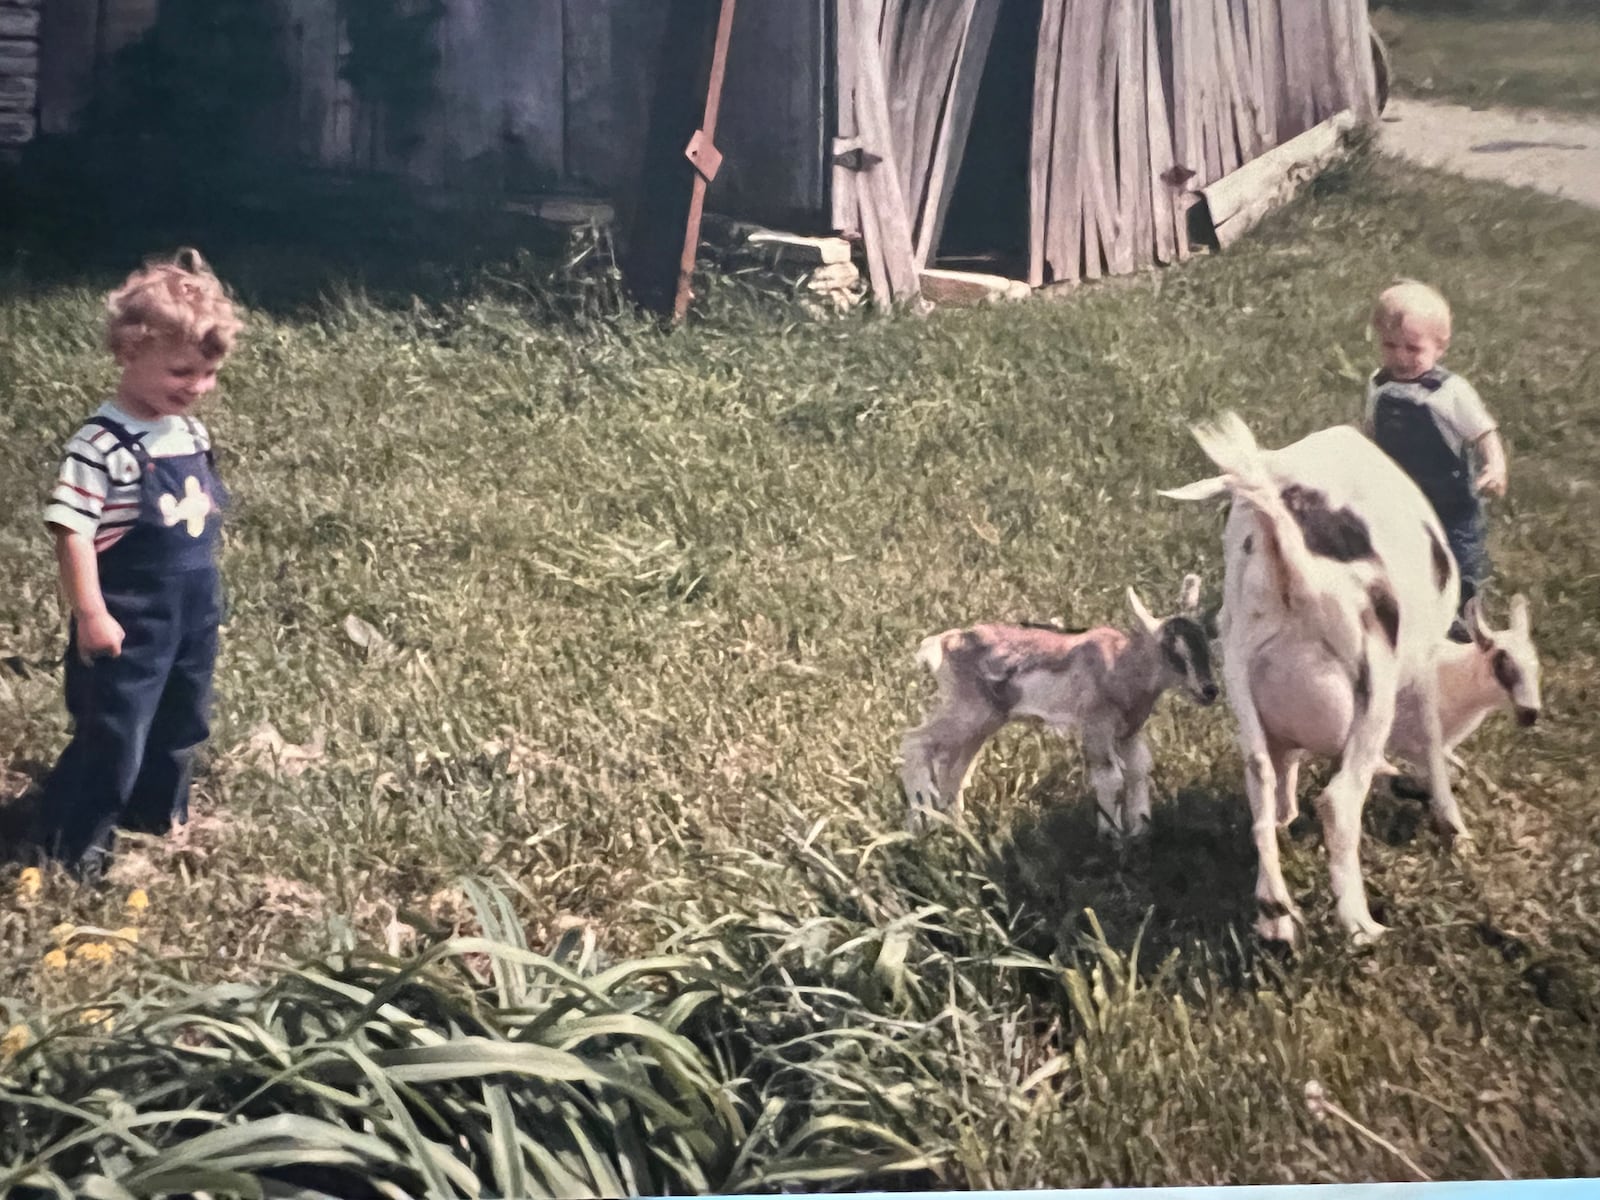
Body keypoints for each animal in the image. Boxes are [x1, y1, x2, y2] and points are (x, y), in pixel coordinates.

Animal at [896, 579, 1216, 838]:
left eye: (1206, 642)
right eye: (1172, 651)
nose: (1209, 691)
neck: (1119, 662)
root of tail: (941, 643)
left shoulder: (1130, 730)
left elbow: (1138, 770)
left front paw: (1139, 832)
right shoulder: (1095, 727)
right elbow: (1109, 777)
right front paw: (1111, 838)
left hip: (982, 723)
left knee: (955, 772)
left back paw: (959, 829)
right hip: (966, 715)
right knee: (914, 742)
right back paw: (919, 829)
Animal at [1164, 416, 1465, 947]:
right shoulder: (1423, 662)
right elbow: (1431, 737)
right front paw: (1454, 827)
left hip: (1242, 673)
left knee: (1261, 783)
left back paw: (1275, 916)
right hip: (1373, 685)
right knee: (1338, 800)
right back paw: (1361, 926)